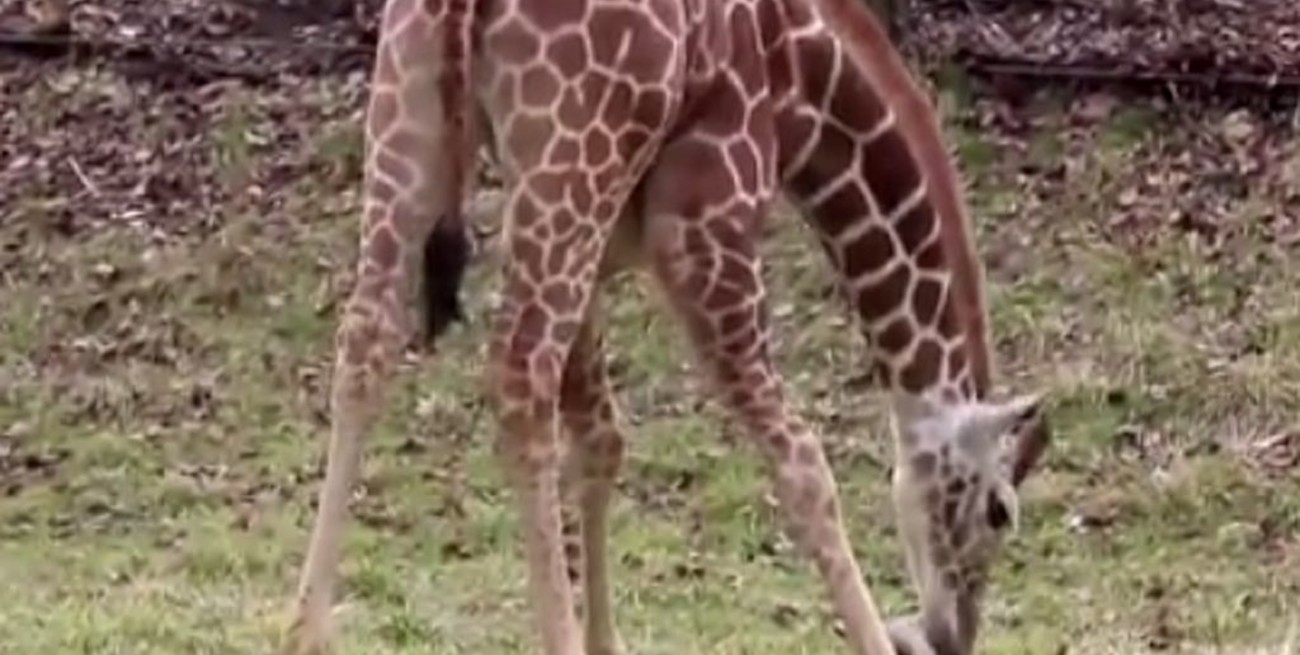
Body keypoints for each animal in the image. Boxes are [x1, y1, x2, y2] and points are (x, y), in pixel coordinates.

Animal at [280, 0, 1052, 654]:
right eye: (1000, 511)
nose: (952, 632)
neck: (805, 91)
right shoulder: (707, 233)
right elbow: (804, 465)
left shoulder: (598, 256)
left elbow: (602, 437)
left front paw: (605, 642)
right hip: (569, 160)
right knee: (518, 376)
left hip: (413, 126)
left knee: (368, 341)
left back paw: (306, 633)